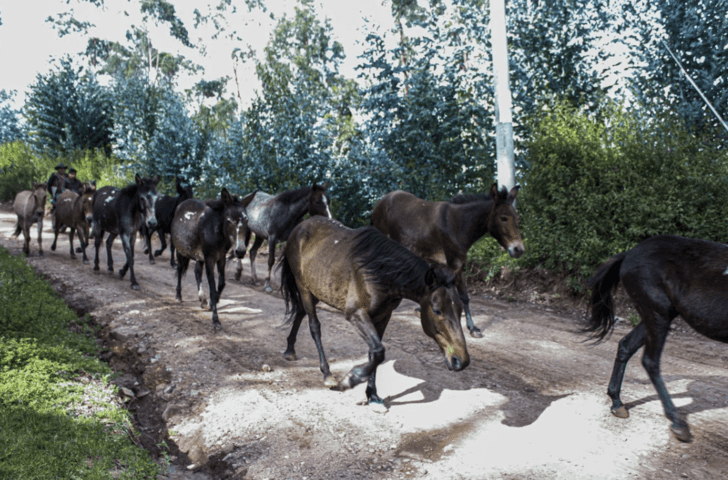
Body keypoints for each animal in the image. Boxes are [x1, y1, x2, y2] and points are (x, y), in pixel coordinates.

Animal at [276, 218, 470, 408]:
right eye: (437, 310)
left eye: (461, 308)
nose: (461, 361)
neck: (382, 273)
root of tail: (299, 227)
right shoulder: (355, 313)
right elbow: (378, 351)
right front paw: (350, 379)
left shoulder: (383, 316)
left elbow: (375, 353)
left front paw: (373, 396)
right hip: (304, 289)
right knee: (314, 327)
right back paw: (327, 374)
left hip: (317, 290)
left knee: (300, 312)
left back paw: (290, 349)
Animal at [370, 184, 524, 338]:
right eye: (503, 218)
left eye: (518, 219)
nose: (519, 250)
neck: (458, 225)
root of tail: (382, 200)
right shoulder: (454, 265)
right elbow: (459, 297)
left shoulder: (453, 265)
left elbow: (461, 296)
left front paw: (471, 327)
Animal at [584, 233, 728, 442]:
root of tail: (629, 253)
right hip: (657, 314)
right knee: (650, 361)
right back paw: (677, 422)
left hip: (655, 315)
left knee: (626, 346)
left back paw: (617, 402)